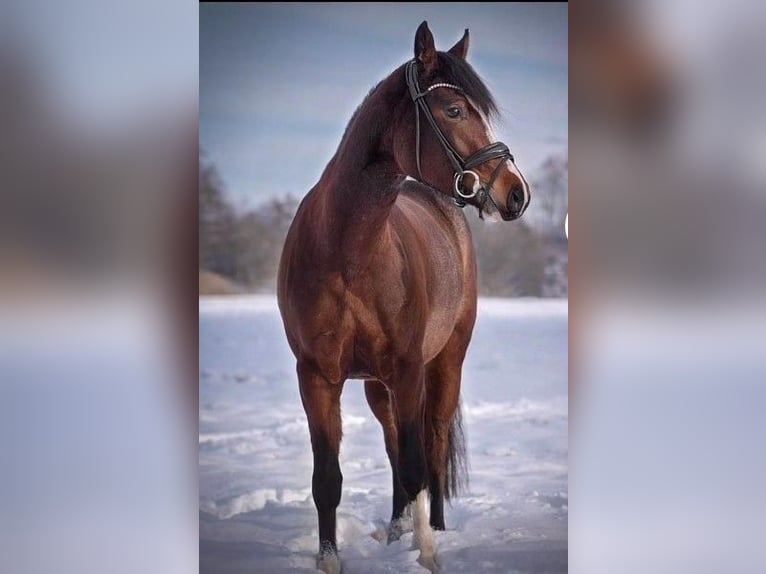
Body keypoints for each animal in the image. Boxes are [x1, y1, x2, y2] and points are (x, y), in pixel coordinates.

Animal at [280, 20, 532, 572]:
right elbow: (328, 479)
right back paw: (396, 531)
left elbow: (419, 465)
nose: (516, 192)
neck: (348, 253)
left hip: (444, 366)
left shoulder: (411, 370)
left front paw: (428, 555)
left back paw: (430, 529)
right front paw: (330, 560)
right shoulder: (317, 377)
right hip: (378, 386)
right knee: (396, 445)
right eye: (454, 110)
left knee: (431, 447)